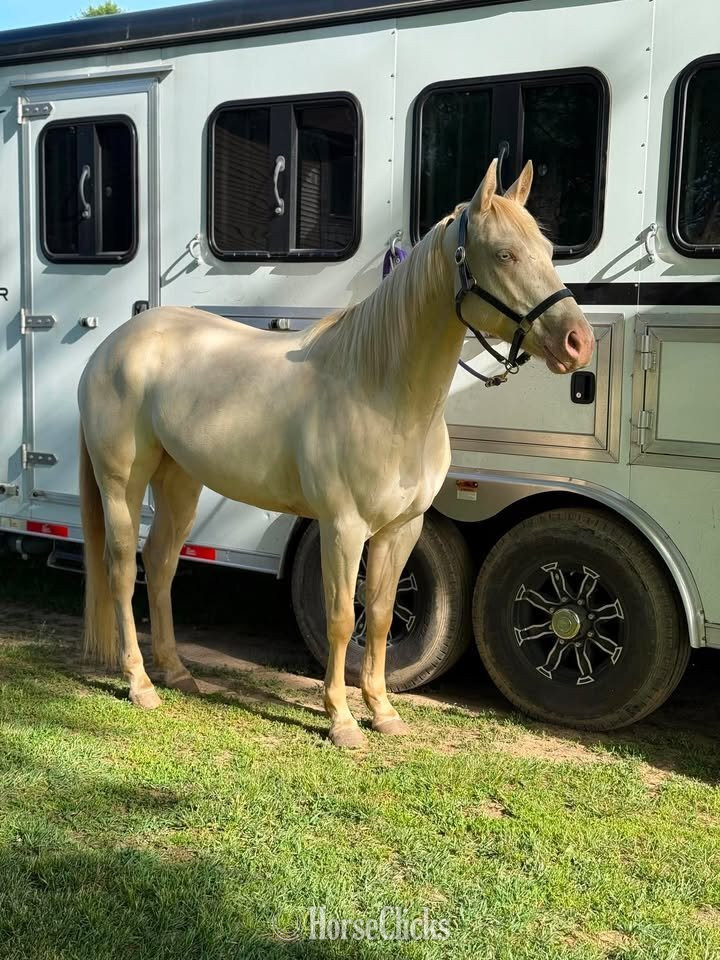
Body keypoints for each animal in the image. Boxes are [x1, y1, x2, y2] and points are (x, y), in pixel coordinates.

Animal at [78, 158, 594, 749]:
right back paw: (140, 683)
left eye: (549, 249)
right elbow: (343, 618)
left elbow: (383, 614)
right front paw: (342, 720)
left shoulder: (402, 529)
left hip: (180, 482)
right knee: (122, 569)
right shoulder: (343, 526)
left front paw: (383, 711)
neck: (384, 396)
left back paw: (177, 671)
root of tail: (113, 345)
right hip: (123, 482)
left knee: (160, 563)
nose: (578, 341)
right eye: (505, 253)